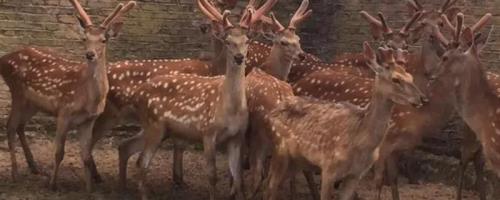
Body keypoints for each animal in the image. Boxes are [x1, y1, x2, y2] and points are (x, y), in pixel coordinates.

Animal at [0, 0, 136, 191]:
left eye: (104, 40)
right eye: (85, 39)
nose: (90, 54)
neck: (89, 99)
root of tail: (3, 59)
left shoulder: (88, 120)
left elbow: (86, 155)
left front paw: (89, 189)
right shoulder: (64, 112)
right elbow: (59, 152)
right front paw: (53, 184)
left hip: (32, 103)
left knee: (20, 125)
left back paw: (34, 167)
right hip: (17, 92)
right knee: (10, 126)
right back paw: (15, 174)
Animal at [115, 0, 276, 198]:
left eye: (247, 41)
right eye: (228, 41)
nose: (239, 57)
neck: (230, 110)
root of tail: (138, 93)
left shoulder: (237, 137)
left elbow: (237, 177)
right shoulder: (207, 132)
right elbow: (212, 176)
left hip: (157, 129)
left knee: (125, 147)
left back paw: (122, 188)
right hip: (154, 125)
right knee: (142, 163)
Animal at [266, 41, 426, 199]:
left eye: (410, 76)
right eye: (395, 79)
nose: (421, 98)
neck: (360, 142)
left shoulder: (356, 174)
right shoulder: (329, 167)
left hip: (298, 160)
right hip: (280, 151)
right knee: (271, 186)